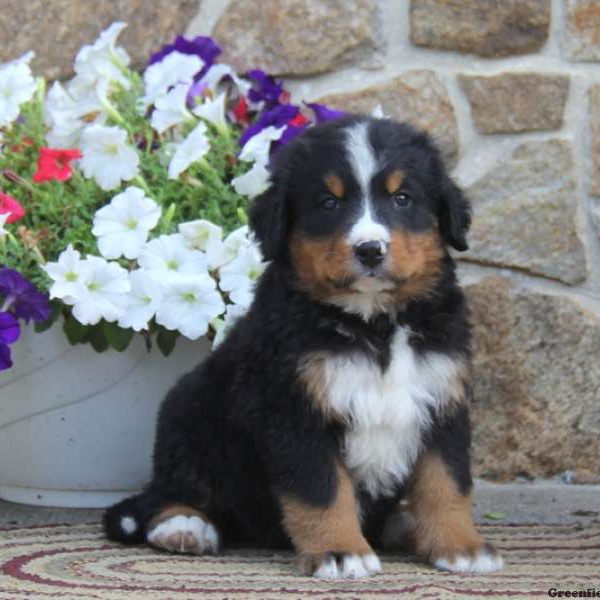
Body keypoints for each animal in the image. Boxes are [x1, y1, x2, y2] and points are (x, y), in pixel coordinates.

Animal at [105, 115, 504, 580]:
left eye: (402, 198)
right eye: (328, 204)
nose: (370, 249)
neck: (375, 326)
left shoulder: (442, 398)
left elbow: (447, 483)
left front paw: (461, 546)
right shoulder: (294, 409)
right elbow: (322, 489)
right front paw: (340, 551)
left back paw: (404, 524)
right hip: (188, 413)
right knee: (167, 493)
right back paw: (184, 526)